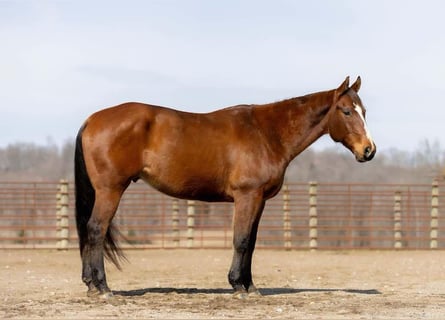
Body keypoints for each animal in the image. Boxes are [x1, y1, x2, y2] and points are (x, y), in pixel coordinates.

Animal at [75, 76, 374, 298]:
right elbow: (240, 240)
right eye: (347, 111)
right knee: (96, 230)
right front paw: (238, 286)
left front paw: (250, 286)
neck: (267, 133)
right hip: (111, 190)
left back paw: (91, 285)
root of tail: (92, 119)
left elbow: (251, 242)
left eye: (364, 111)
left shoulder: (259, 200)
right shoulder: (247, 196)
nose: (369, 150)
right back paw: (102, 287)